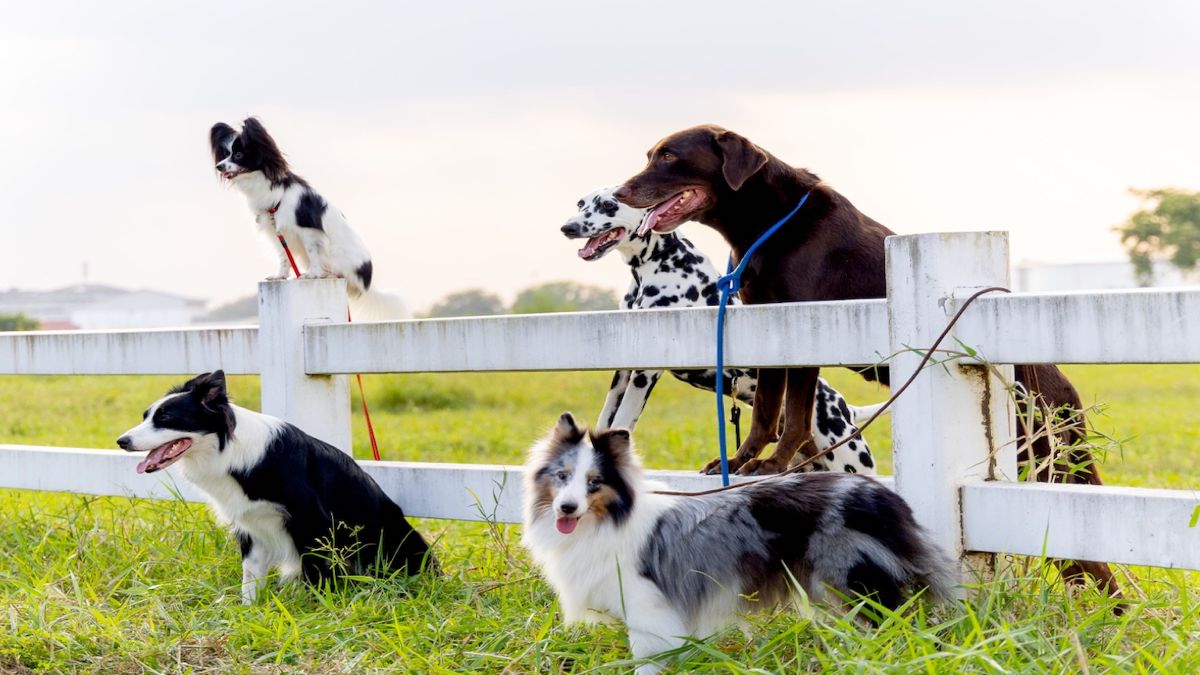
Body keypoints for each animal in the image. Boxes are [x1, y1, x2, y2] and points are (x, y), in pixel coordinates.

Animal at [115, 369, 436, 600]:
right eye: (146, 416)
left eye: (166, 417)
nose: (121, 441)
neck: (230, 451)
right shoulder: (250, 525)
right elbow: (250, 576)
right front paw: (248, 612)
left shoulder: (311, 521)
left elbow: (316, 571)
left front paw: (318, 607)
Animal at [208, 118, 410, 317]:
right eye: (225, 154)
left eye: (238, 155)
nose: (218, 166)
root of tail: (367, 281)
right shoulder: (277, 232)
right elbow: (283, 257)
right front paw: (280, 276)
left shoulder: (308, 231)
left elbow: (314, 253)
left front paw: (313, 274)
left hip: (339, 256)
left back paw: (330, 274)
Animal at [523, 413, 955, 667]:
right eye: (562, 476)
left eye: (594, 482)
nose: (566, 508)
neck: (610, 519)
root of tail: (886, 497)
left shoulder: (648, 607)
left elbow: (646, 657)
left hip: (854, 578)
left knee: (898, 623)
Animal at [556, 183, 888, 473]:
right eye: (581, 203)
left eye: (608, 205)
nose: (567, 228)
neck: (660, 262)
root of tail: (844, 407)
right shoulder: (623, 371)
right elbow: (607, 419)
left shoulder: (645, 372)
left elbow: (624, 420)